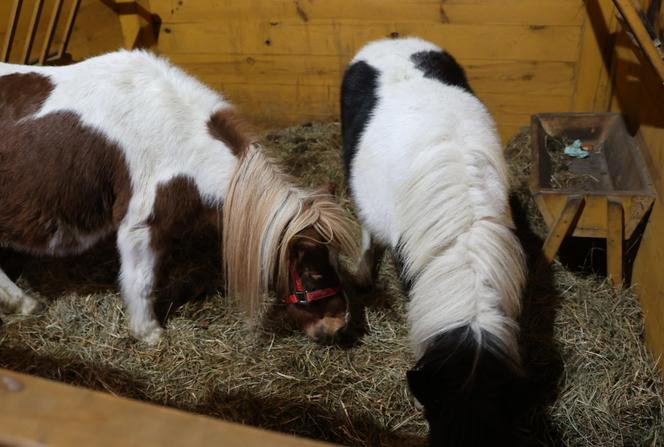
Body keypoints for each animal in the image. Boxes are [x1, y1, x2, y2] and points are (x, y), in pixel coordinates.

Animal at [1, 49, 358, 344]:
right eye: (312, 273)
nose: (338, 328)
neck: (175, 137)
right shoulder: (139, 225)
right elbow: (142, 281)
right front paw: (149, 333)